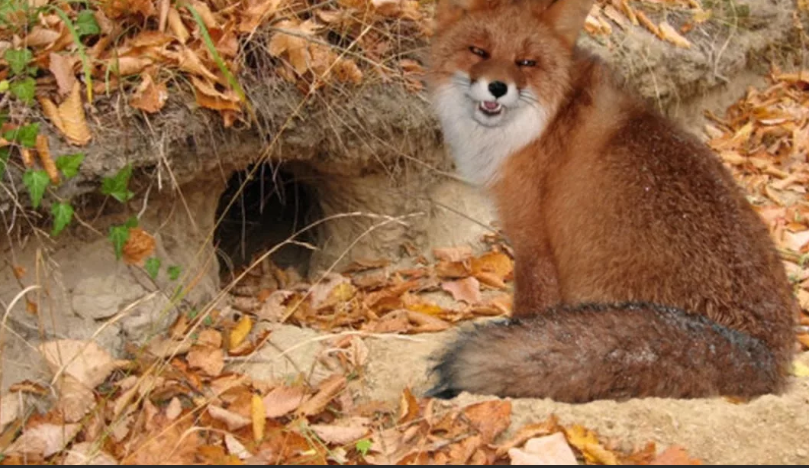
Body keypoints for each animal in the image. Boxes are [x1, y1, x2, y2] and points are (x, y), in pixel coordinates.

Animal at [426, 0, 800, 402]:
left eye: (526, 62)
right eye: (478, 51)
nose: (497, 88)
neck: (544, 121)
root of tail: (764, 354)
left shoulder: (532, 240)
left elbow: (527, 312)